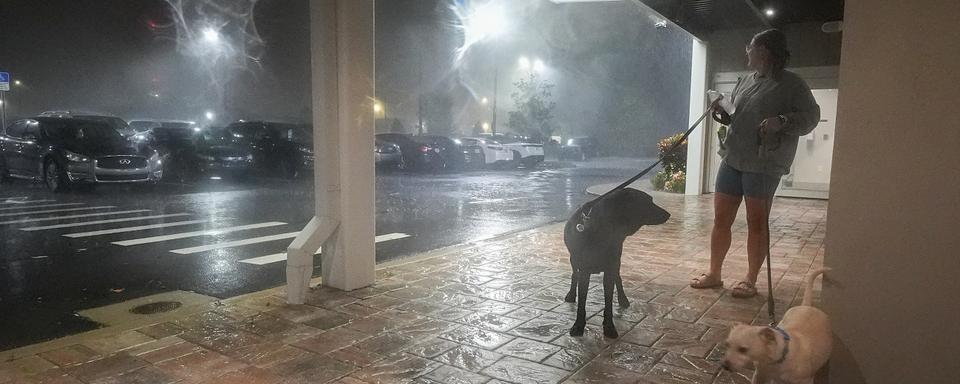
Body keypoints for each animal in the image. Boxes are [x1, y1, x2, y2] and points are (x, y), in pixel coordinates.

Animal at [564, 188, 668, 338]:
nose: (668, 214)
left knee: (618, 278)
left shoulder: (610, 268)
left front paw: (609, 327)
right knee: (574, 274)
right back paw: (571, 294)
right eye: (647, 201)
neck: (603, 231)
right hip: (574, 259)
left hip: (616, 262)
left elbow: (609, 302)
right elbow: (581, 302)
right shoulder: (584, 270)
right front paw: (578, 326)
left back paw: (623, 298)